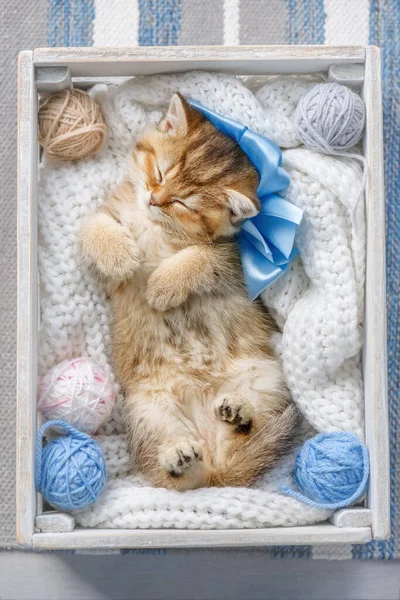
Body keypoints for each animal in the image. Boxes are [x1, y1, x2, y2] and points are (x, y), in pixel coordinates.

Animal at [79, 91, 298, 490]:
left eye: (182, 202)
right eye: (160, 172)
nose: (153, 198)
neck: (155, 225)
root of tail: (213, 459)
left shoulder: (230, 261)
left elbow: (200, 258)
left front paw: (161, 286)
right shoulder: (106, 221)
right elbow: (94, 226)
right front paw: (121, 256)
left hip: (268, 378)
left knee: (246, 435)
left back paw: (238, 414)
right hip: (147, 410)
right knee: (176, 474)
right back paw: (178, 454)